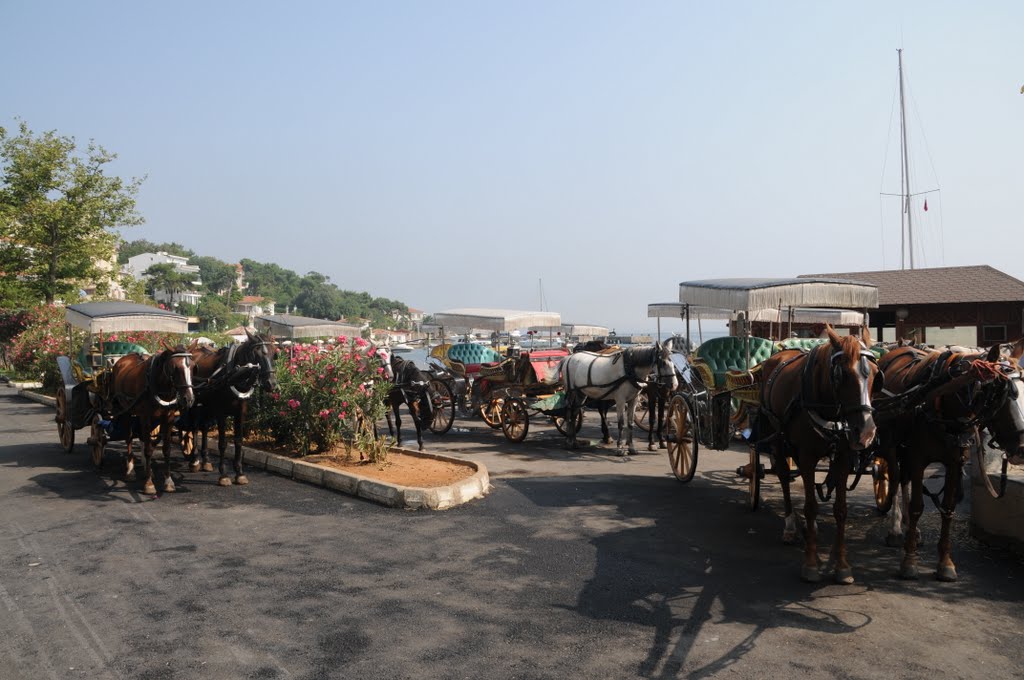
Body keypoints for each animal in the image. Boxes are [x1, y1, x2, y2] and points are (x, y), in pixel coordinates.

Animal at [108, 346, 195, 493]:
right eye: (174, 367)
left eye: (194, 367)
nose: (188, 399)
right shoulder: (146, 417)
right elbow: (148, 450)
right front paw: (149, 484)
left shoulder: (168, 419)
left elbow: (166, 449)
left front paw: (168, 481)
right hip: (126, 411)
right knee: (129, 437)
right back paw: (130, 469)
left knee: (142, 438)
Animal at [180, 329, 276, 485]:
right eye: (256, 354)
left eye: (275, 353)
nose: (271, 383)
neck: (235, 375)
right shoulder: (221, 413)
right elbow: (223, 443)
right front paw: (224, 474)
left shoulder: (241, 412)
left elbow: (238, 441)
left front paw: (239, 473)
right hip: (193, 402)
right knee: (194, 428)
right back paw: (194, 460)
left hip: (206, 405)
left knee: (204, 427)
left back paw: (205, 460)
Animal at [757, 327, 884, 581]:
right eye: (840, 374)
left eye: (876, 374)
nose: (866, 432)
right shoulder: (807, 457)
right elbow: (811, 507)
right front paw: (811, 564)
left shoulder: (843, 458)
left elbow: (841, 510)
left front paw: (842, 566)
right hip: (777, 438)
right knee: (784, 477)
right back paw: (790, 527)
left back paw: (810, 528)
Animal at [872, 342, 1024, 577]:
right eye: (999, 392)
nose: (1022, 448)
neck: (942, 402)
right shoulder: (918, 459)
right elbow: (917, 506)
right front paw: (909, 561)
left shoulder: (955, 462)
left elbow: (948, 508)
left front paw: (945, 563)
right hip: (890, 444)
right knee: (895, 480)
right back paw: (896, 529)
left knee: (904, 480)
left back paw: (910, 529)